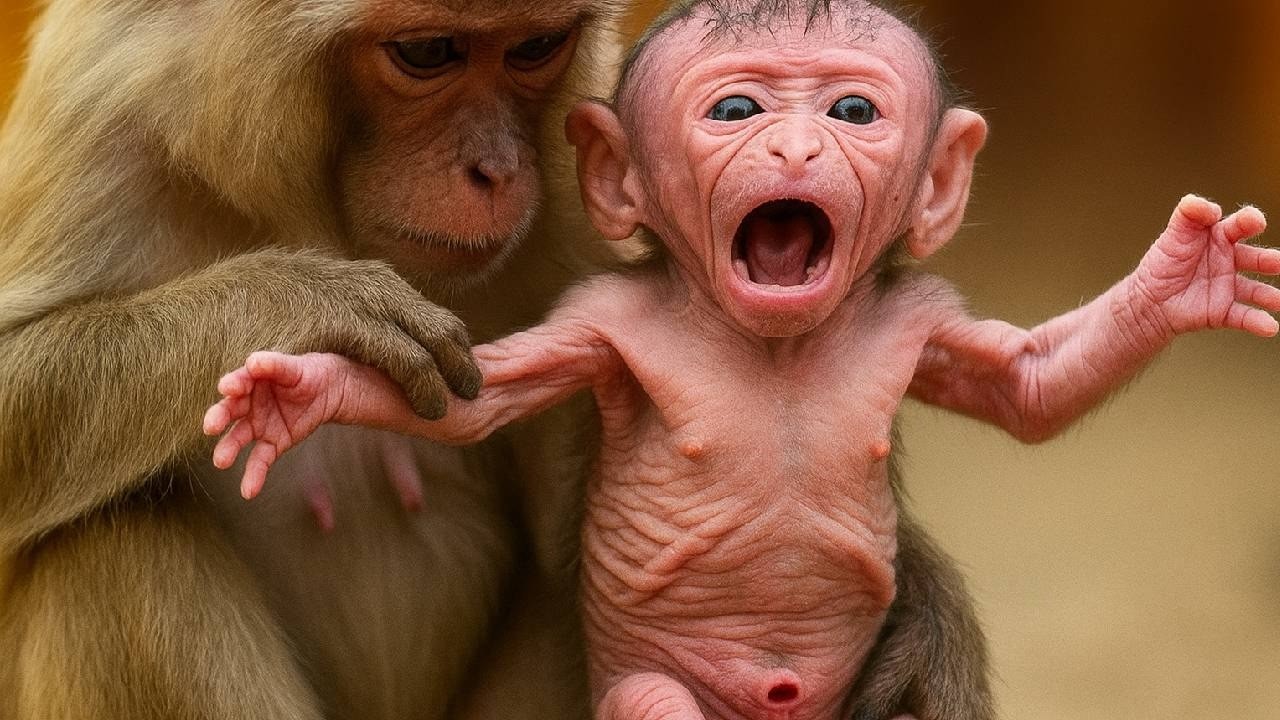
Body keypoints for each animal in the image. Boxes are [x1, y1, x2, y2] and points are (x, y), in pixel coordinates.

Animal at [0, 1, 633, 718]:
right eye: (428, 52)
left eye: (537, 46)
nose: (496, 170)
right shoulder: (96, 100)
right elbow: (12, 370)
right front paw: (314, 299)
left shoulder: (585, 168)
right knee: (112, 529)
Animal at [200, 2, 1277, 718]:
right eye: (734, 111)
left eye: (852, 112)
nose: (795, 151)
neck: (773, 341)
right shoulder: (599, 318)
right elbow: (476, 397)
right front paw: (292, 388)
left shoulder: (919, 312)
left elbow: (1029, 388)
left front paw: (1187, 275)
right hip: (654, 690)